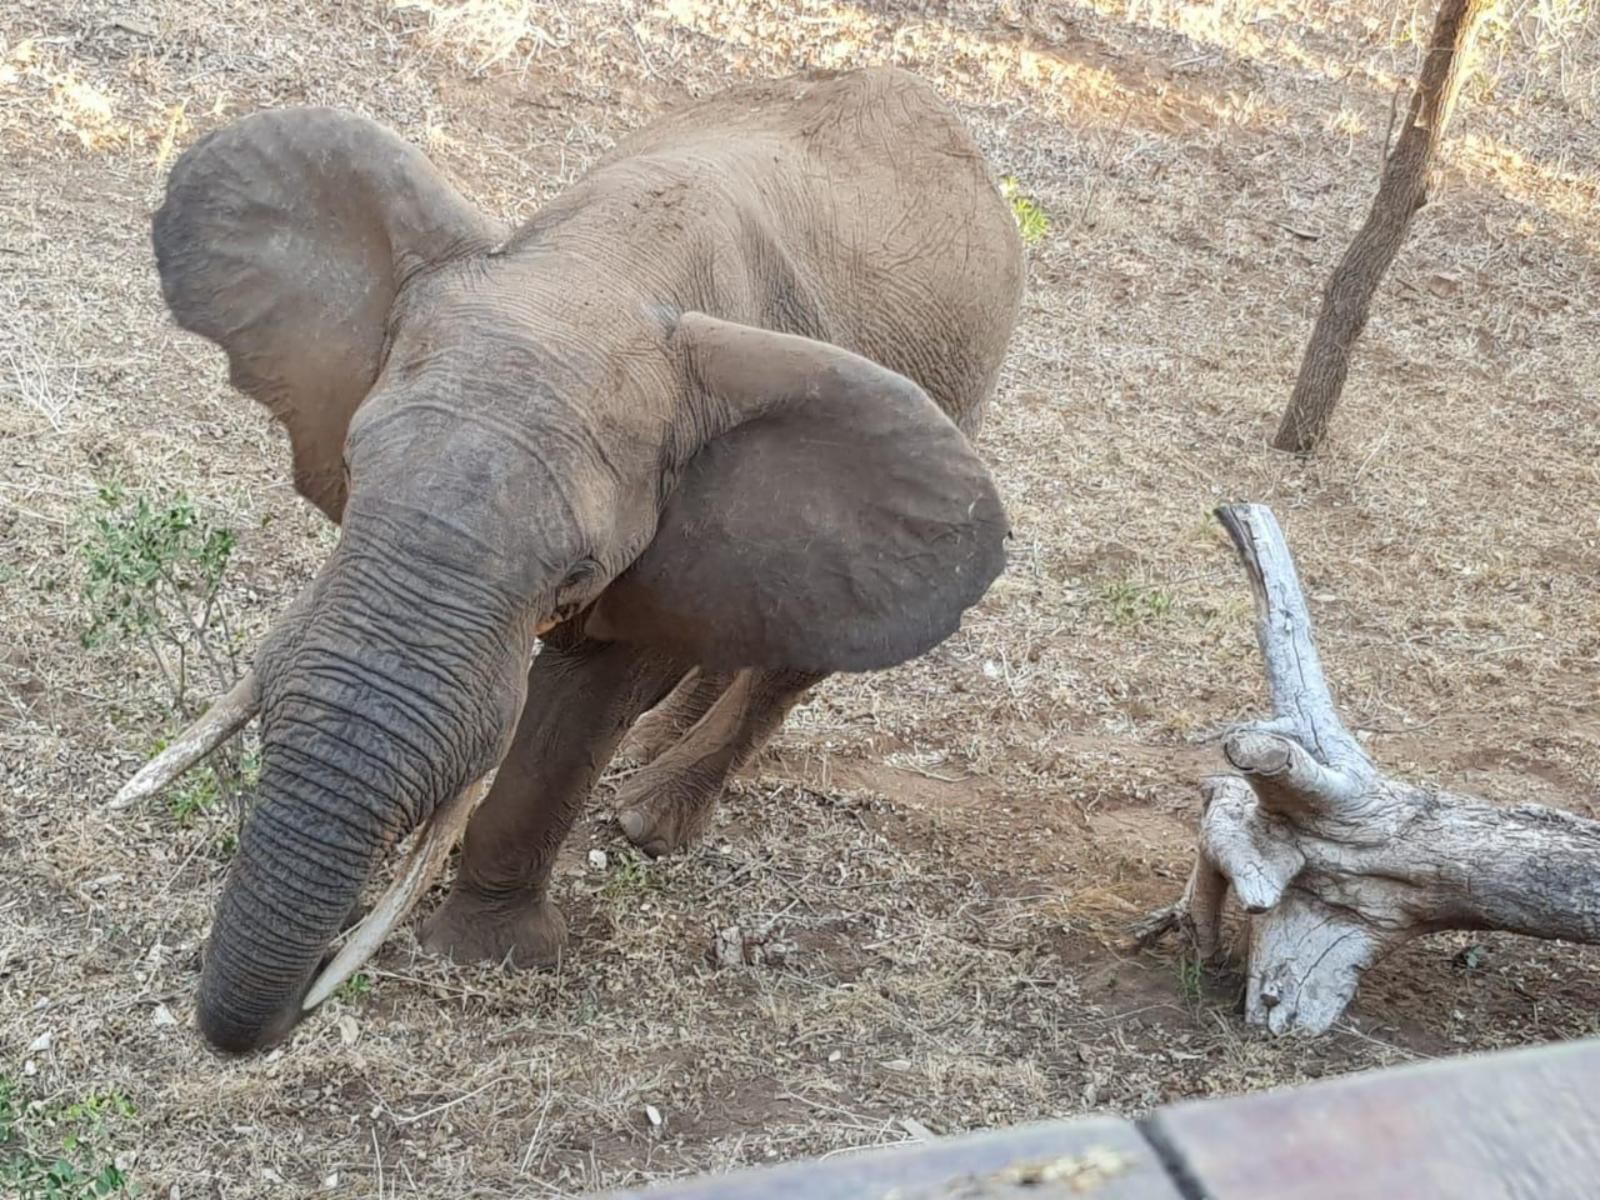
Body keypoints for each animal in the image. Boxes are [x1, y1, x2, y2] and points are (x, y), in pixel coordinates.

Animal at [131, 70, 1017, 1056]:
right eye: (354, 475)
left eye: (576, 576)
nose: (290, 1003)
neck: (606, 266)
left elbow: (590, 692)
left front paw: (487, 953)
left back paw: (648, 816)